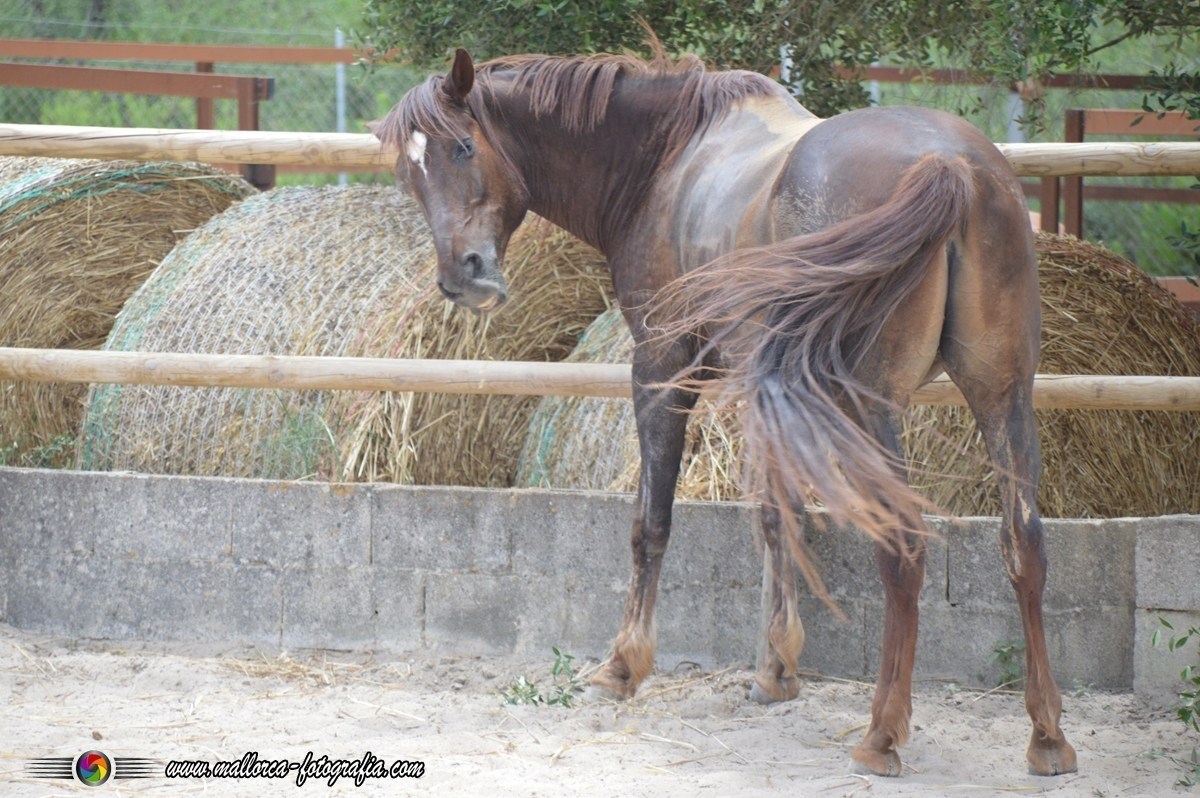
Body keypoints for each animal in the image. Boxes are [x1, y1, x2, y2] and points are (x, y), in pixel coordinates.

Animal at [372, 44, 1077, 778]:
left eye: (461, 148)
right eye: (409, 174)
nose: (463, 276)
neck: (666, 161)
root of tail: (950, 166)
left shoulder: (661, 370)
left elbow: (651, 523)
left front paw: (623, 665)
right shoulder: (755, 385)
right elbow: (774, 515)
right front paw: (776, 669)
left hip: (873, 405)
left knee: (905, 546)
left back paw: (882, 733)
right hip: (1002, 394)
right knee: (1023, 541)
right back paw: (1047, 735)